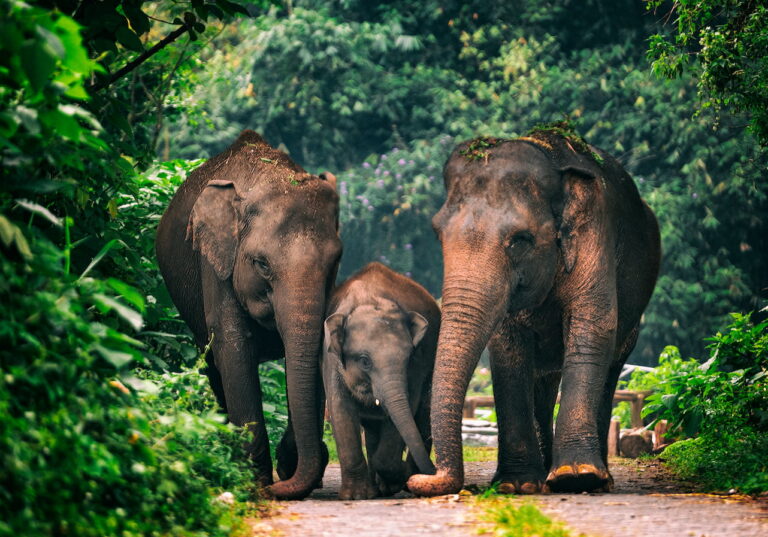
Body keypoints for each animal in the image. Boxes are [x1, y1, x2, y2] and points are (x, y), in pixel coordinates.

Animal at [155, 130, 342, 499]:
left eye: (334, 262)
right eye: (261, 264)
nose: (282, 484)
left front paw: (287, 468)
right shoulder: (215, 262)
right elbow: (233, 348)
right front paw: (256, 481)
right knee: (212, 365)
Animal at [323, 262, 439, 499]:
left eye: (409, 358)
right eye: (364, 361)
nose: (435, 471)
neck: (369, 297)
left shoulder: (418, 365)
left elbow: (407, 407)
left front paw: (398, 479)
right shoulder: (331, 358)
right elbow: (340, 408)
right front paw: (356, 496)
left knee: (423, 412)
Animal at [407, 128, 661, 496]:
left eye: (520, 240)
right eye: (438, 233)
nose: (419, 479)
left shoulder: (594, 233)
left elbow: (592, 326)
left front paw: (577, 476)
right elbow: (507, 346)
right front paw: (518, 485)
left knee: (611, 368)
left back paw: (598, 478)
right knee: (543, 379)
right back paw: (543, 477)